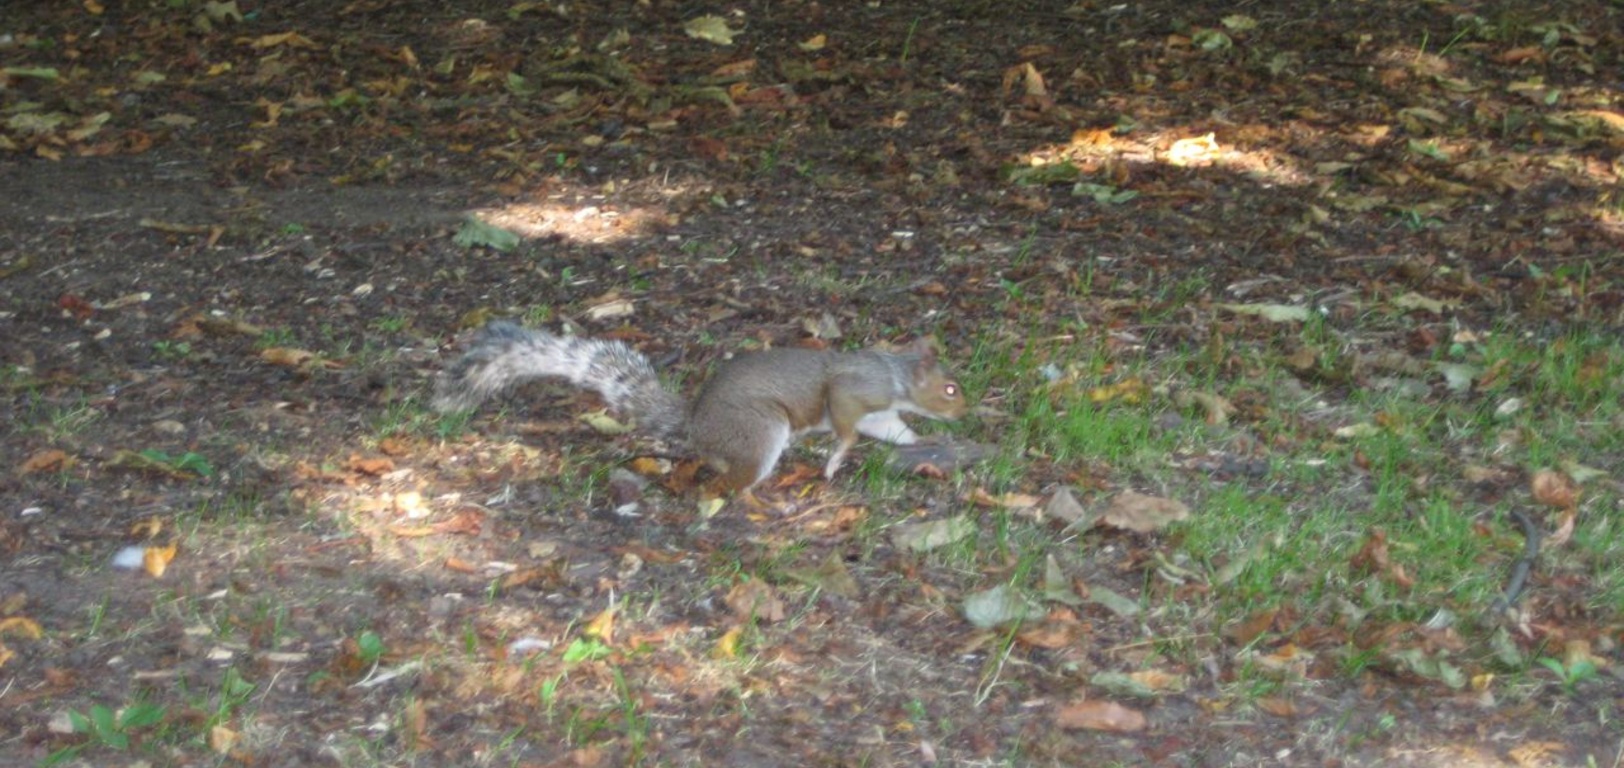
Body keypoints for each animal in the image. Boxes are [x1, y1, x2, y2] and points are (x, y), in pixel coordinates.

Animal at [433, 322, 969, 492]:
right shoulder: (850, 391)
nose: (964, 413)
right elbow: (846, 428)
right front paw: (836, 459)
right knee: (729, 484)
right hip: (759, 430)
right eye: (949, 389)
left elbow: (895, 430)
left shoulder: (881, 412)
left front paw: (926, 441)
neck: (895, 375)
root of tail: (695, 425)